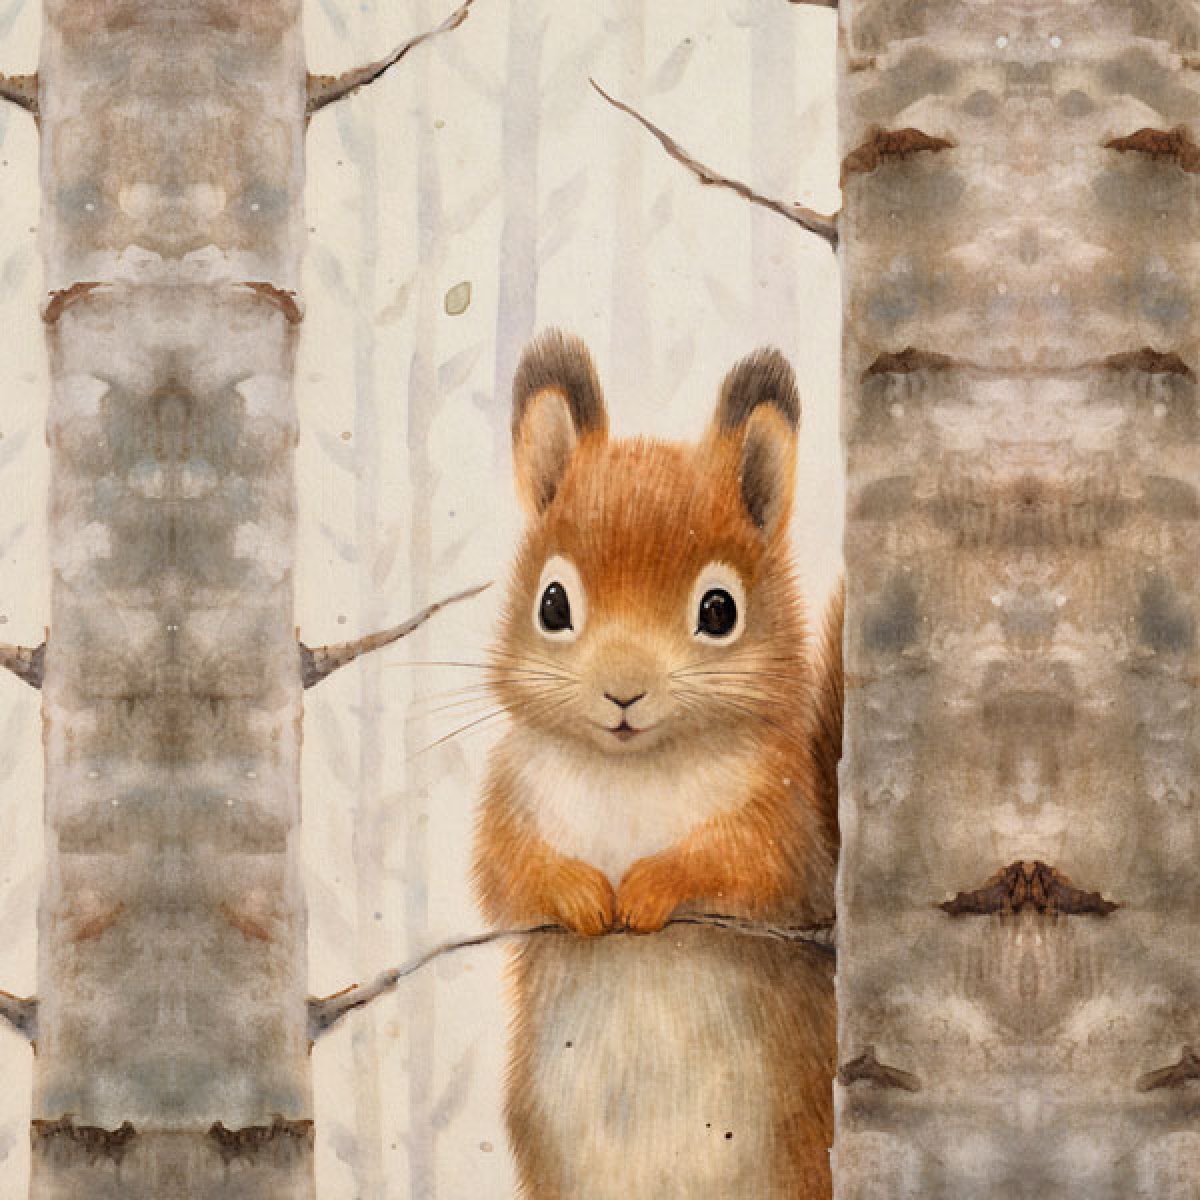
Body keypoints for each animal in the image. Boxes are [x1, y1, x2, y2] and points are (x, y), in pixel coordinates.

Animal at [473, 330, 842, 1199]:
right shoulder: (512, 794)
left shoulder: (786, 826)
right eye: (552, 605)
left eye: (719, 610)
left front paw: (648, 887)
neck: (633, 772)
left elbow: (744, 865)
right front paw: (580, 892)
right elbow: (506, 871)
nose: (623, 691)